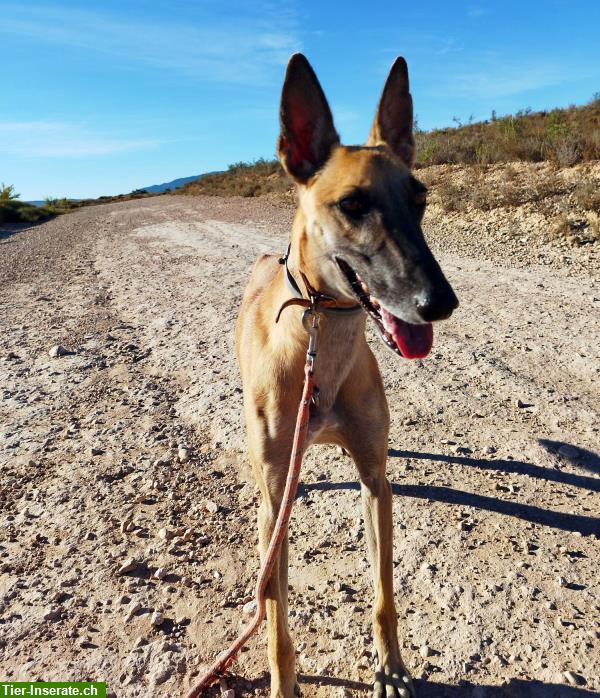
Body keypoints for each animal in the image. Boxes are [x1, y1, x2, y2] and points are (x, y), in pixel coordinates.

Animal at [236, 51, 460, 692]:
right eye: (355, 204)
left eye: (420, 199)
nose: (440, 303)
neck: (321, 348)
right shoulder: (273, 515)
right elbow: (276, 622)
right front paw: (282, 684)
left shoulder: (375, 481)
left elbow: (384, 592)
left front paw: (392, 667)